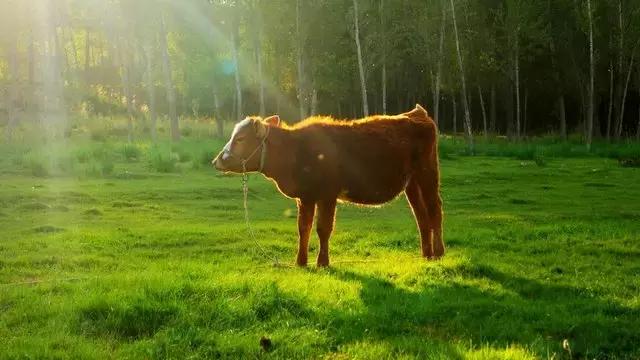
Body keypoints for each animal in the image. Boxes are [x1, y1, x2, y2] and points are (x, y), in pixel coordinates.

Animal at [212, 104, 442, 268]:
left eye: (240, 138)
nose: (217, 161)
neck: (296, 151)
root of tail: (417, 113)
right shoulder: (305, 197)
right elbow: (303, 228)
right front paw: (301, 262)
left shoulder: (328, 195)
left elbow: (323, 228)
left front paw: (322, 263)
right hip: (411, 183)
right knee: (421, 216)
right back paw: (426, 255)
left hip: (427, 174)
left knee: (434, 210)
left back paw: (439, 253)